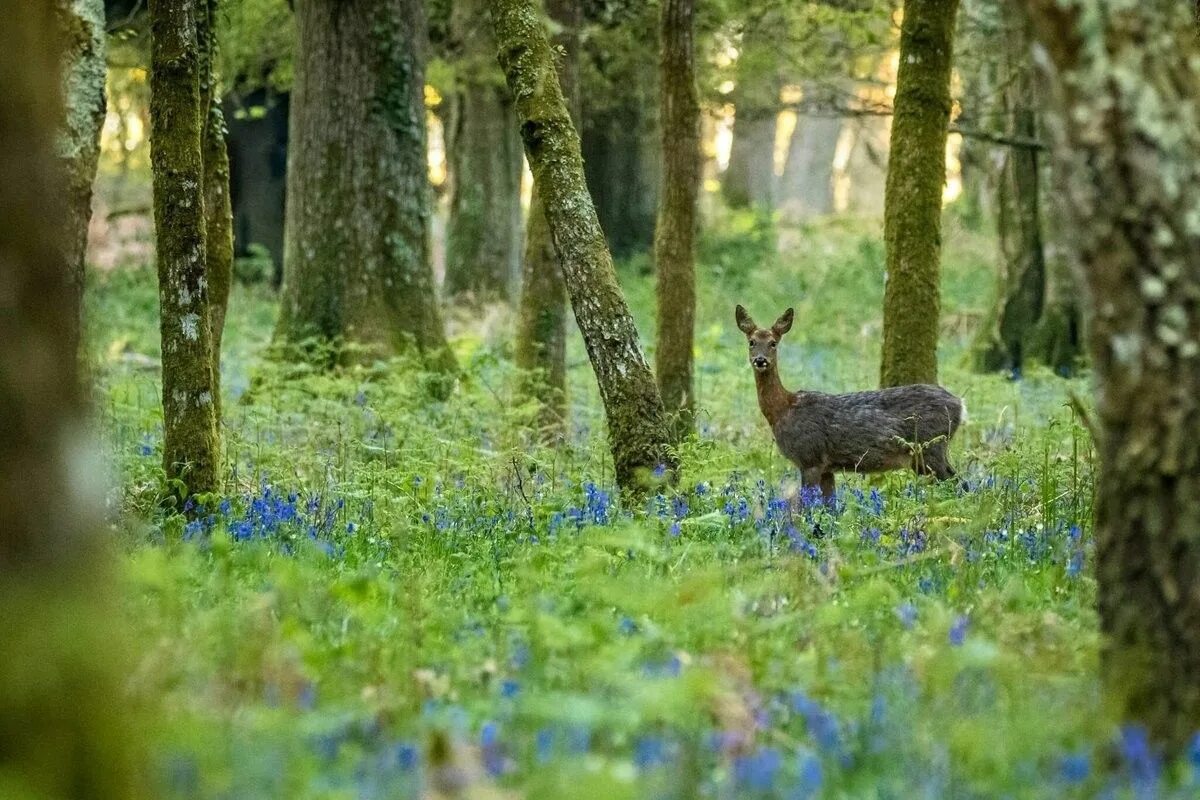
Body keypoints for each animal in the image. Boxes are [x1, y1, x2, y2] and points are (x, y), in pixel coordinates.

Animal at [729, 304, 964, 501]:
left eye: (773, 343)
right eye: (751, 342)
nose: (760, 360)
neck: (783, 410)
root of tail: (960, 404)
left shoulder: (809, 457)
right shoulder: (827, 468)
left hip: (930, 445)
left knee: (958, 482)